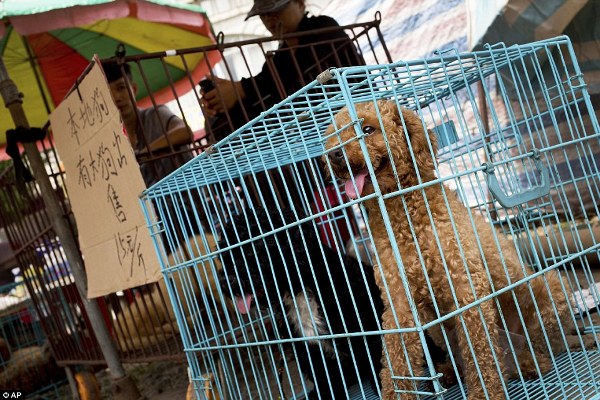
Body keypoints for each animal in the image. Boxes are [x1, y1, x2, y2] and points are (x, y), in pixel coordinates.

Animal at [220, 208, 384, 398]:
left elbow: (377, 356)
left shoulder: (365, 324)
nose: (226, 281)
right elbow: (324, 376)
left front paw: (383, 384)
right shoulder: (308, 348)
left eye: (251, 250)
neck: (298, 289)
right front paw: (325, 393)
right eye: (224, 256)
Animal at [324, 98, 572, 398]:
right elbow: (397, 360)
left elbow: (480, 350)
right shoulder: (399, 304)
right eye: (333, 135)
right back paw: (455, 371)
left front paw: (484, 393)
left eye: (368, 129)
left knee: (539, 343)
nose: (334, 154)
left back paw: (529, 362)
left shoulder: (466, 288)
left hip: (547, 289)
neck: (404, 217)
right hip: (439, 330)